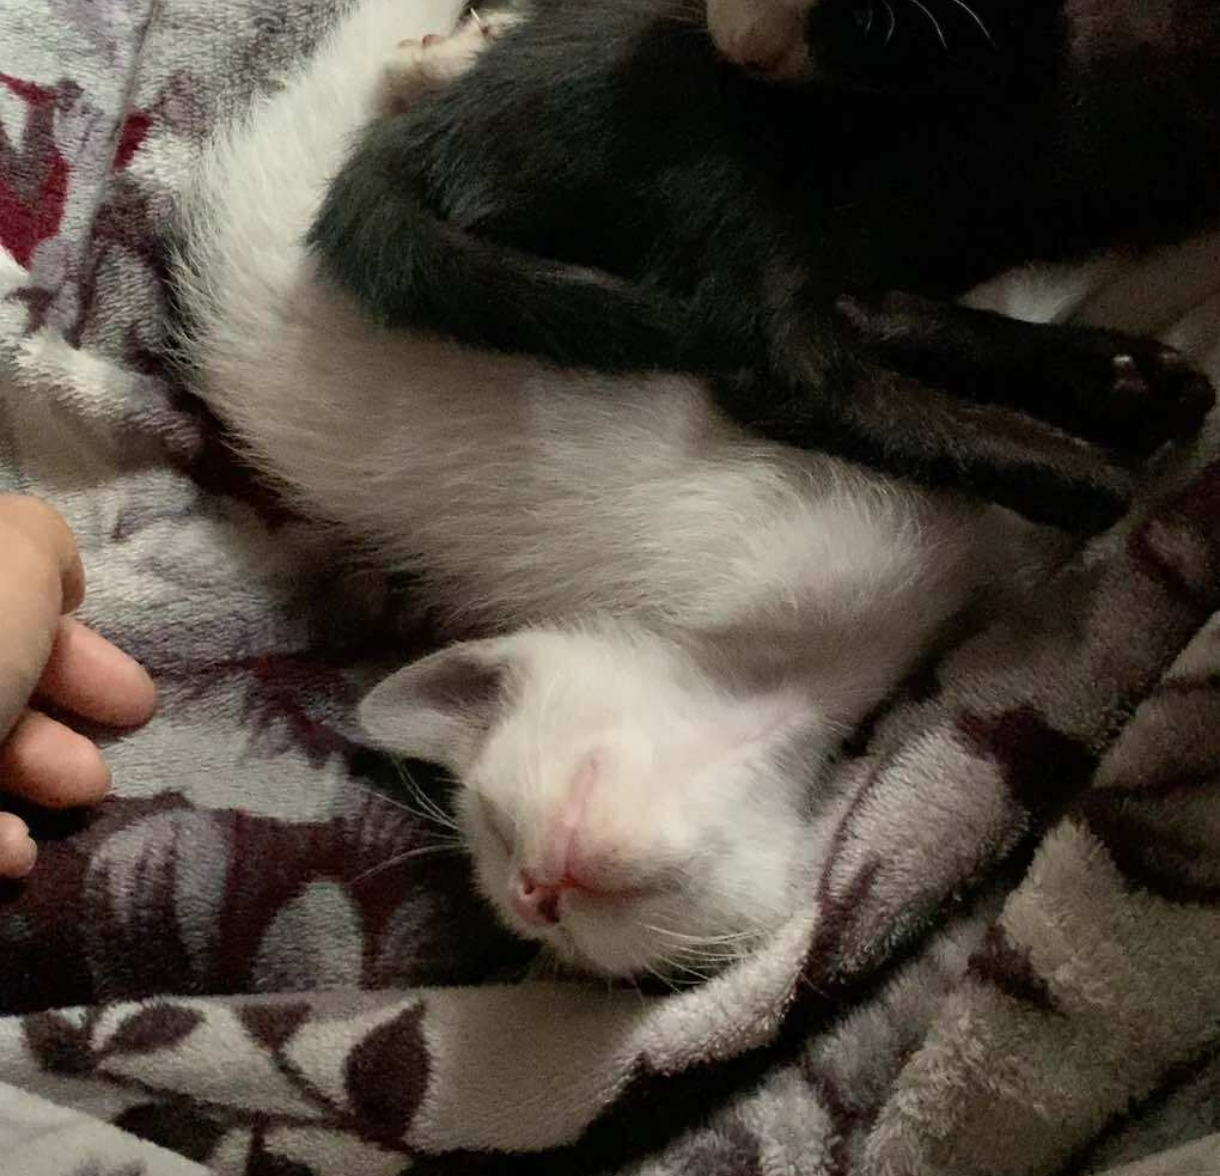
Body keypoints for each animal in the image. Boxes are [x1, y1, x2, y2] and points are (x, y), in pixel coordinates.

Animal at [307, 0, 1219, 533]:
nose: (744, 48)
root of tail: (421, 134)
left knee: (850, 311)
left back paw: (1126, 381)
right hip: (741, 167)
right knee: (784, 363)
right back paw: (1087, 466)